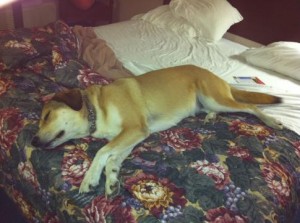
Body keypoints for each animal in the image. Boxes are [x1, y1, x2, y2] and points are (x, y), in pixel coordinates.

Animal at [31, 65, 282, 195]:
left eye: (47, 116)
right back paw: (210, 117)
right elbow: (113, 158)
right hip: (209, 102)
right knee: (221, 110)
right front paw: (111, 179)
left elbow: (102, 152)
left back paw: (272, 121)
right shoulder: (133, 136)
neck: (97, 107)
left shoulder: (134, 128)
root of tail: (221, 79)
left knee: (249, 107)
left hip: (216, 97)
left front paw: (90, 177)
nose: (33, 142)